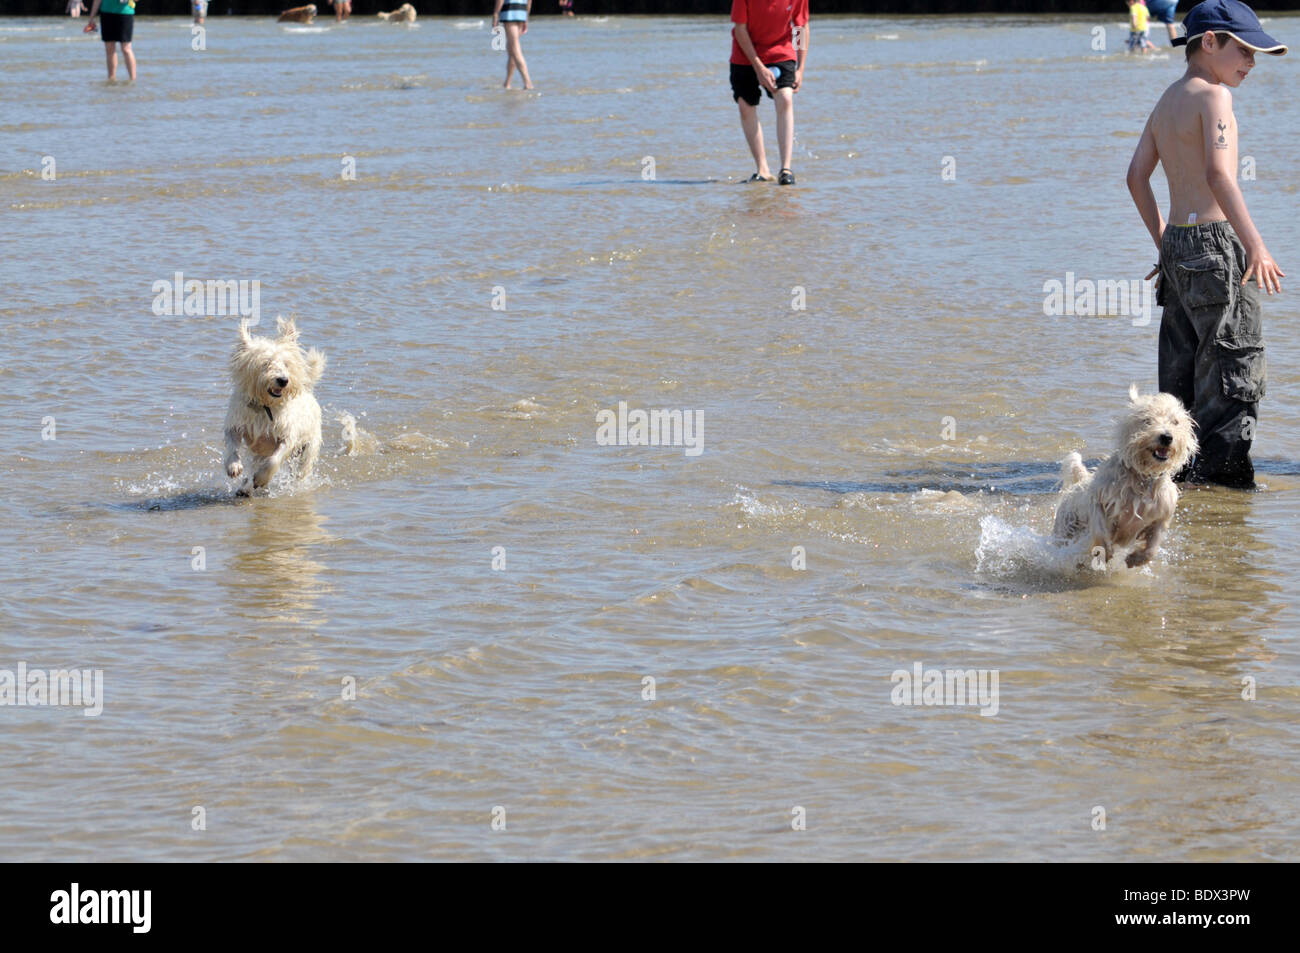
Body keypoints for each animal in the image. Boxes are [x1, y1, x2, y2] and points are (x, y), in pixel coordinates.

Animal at [223, 315, 325, 494]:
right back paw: (245, 488)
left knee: (300, 470)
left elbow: (274, 460)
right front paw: (233, 466)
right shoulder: (236, 425)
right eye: (265, 363)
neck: (265, 406)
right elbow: (232, 445)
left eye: (286, 364)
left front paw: (262, 478)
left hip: (308, 448)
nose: (283, 380)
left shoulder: (287, 436)